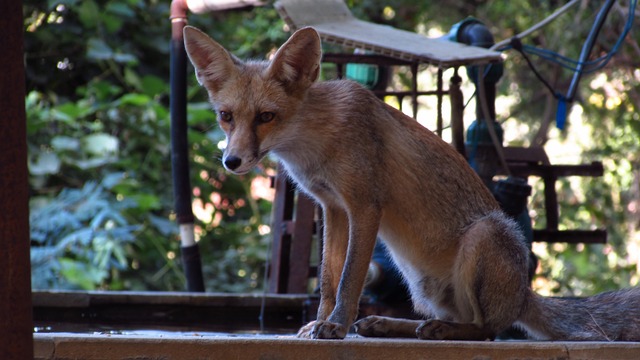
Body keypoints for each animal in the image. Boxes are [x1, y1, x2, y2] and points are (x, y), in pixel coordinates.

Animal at [181, 24, 640, 340]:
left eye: (266, 116)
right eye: (226, 116)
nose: (232, 161)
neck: (317, 142)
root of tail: (523, 294)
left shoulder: (364, 206)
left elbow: (349, 279)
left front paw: (335, 327)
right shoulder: (333, 209)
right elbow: (327, 281)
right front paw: (321, 324)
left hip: (483, 237)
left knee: (485, 330)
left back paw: (442, 332)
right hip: (419, 284)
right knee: (443, 318)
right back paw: (388, 324)